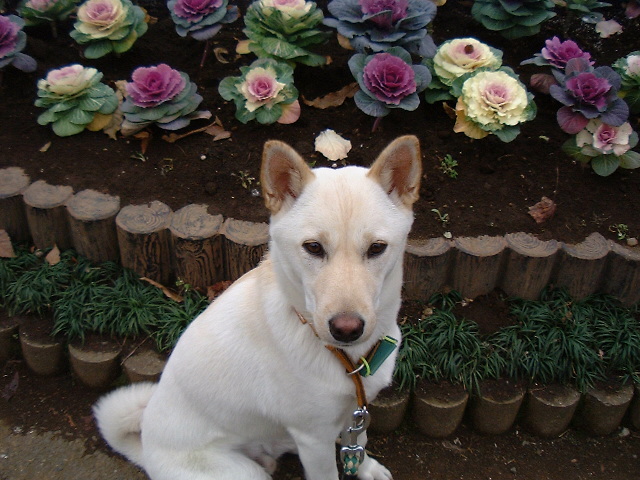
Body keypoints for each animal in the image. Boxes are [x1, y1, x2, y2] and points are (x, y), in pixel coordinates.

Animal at [93, 135, 422, 480]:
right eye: (313, 247)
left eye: (377, 248)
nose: (347, 329)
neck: (346, 358)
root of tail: (147, 449)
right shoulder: (313, 439)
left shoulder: (354, 410)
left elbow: (360, 440)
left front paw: (366, 467)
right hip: (245, 473)